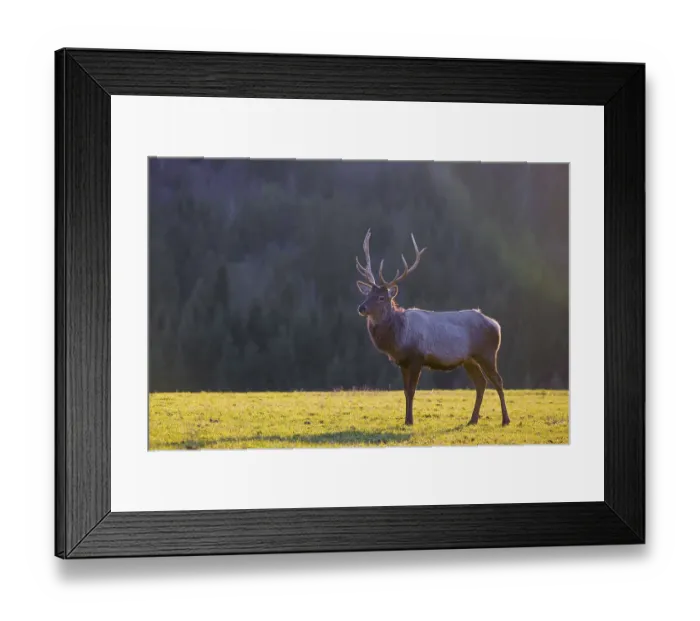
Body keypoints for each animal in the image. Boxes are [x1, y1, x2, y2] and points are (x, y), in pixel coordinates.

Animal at [355, 228, 511, 428]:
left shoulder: (417, 357)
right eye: (367, 294)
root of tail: (496, 325)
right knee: (481, 383)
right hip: (469, 359)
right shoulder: (402, 362)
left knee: (498, 381)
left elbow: (412, 391)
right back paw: (473, 419)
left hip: (488, 353)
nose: (362, 308)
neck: (399, 338)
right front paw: (406, 420)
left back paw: (505, 419)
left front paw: (410, 421)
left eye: (381, 297)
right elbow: (405, 391)